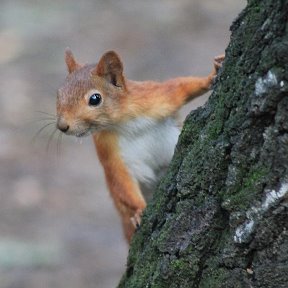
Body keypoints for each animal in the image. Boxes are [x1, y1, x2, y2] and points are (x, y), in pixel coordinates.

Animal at [55, 49, 223, 243]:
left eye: (95, 99)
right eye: (59, 94)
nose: (62, 126)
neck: (123, 121)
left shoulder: (154, 97)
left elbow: (180, 86)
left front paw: (212, 74)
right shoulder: (108, 149)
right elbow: (121, 180)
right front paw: (139, 211)